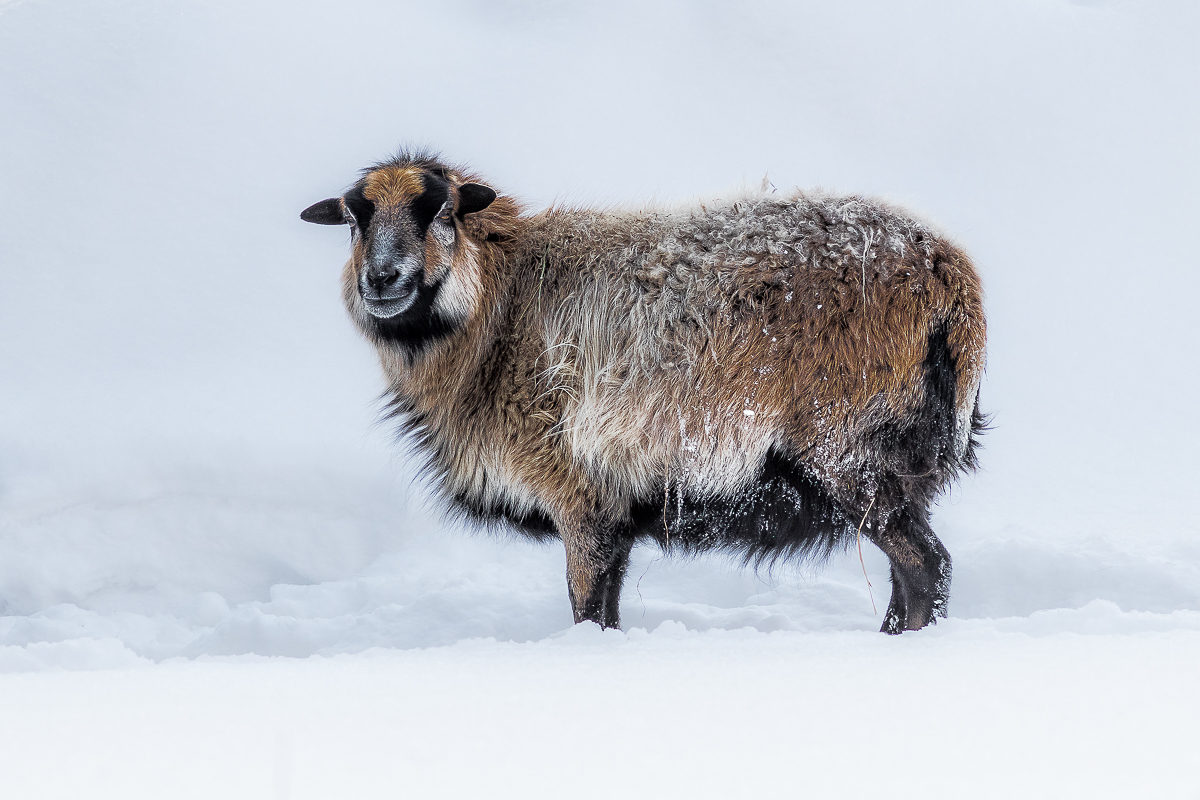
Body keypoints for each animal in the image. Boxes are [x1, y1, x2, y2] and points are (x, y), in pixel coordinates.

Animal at [300, 153, 984, 633]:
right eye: (355, 219)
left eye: (440, 211)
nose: (381, 279)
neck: (500, 311)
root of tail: (953, 278)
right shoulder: (614, 503)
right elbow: (605, 608)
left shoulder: (578, 491)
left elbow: (586, 606)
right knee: (911, 574)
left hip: (850, 450)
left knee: (927, 568)